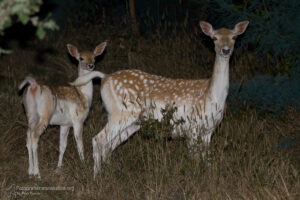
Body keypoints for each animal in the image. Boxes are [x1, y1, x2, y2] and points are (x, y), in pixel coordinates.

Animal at [18, 41, 106, 178]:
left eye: (94, 57)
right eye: (81, 58)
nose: (91, 65)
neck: (83, 95)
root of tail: (33, 85)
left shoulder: (65, 124)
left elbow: (62, 146)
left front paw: (58, 169)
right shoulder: (78, 120)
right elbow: (79, 144)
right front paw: (84, 166)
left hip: (30, 114)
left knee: (28, 136)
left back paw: (30, 171)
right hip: (45, 115)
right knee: (34, 136)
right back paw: (37, 173)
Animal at [70, 21, 248, 179]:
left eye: (234, 37)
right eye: (214, 38)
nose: (225, 50)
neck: (212, 96)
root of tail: (105, 77)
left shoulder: (209, 130)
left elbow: (207, 159)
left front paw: (209, 176)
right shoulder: (192, 127)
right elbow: (195, 159)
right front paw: (195, 177)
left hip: (130, 122)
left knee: (109, 145)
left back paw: (109, 173)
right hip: (121, 114)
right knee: (97, 139)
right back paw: (96, 178)